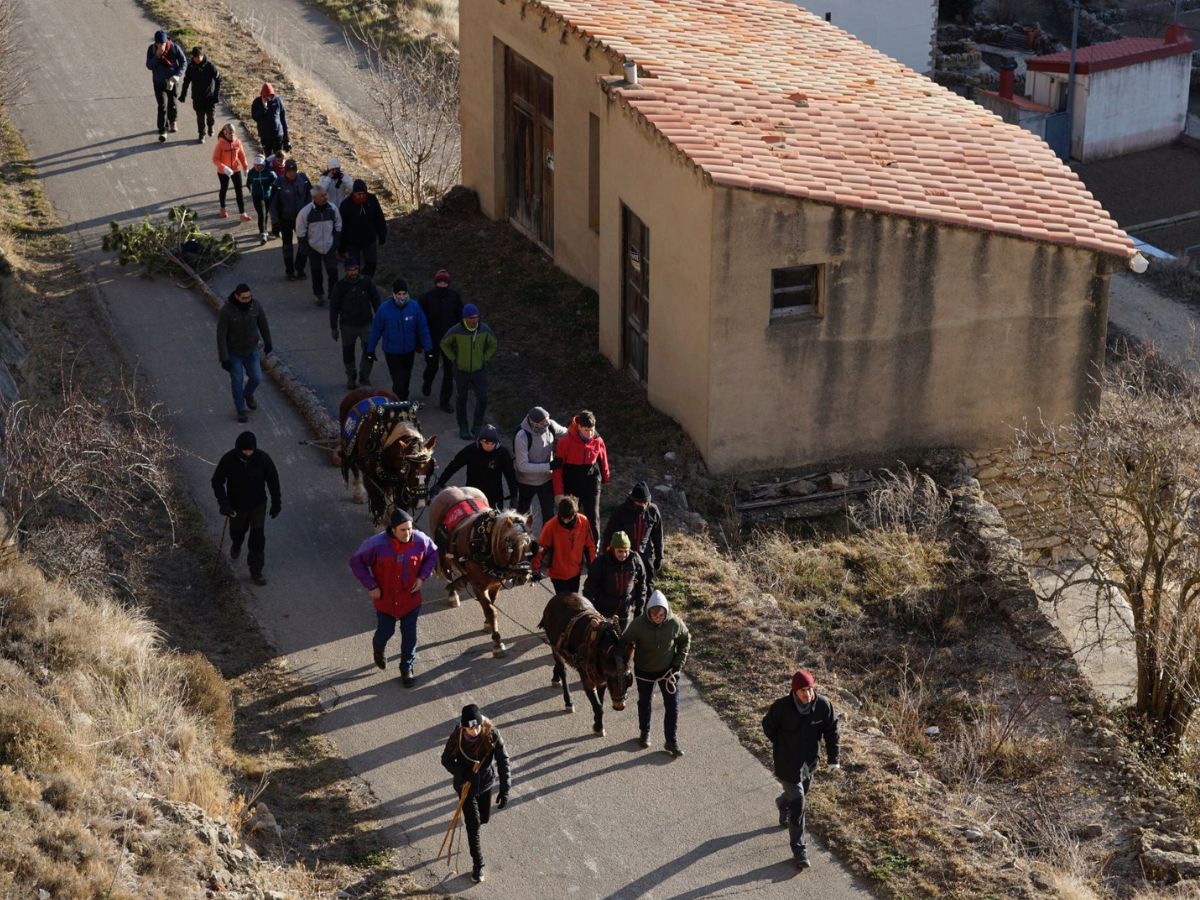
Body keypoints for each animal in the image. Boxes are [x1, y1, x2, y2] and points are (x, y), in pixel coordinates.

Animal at [340, 388, 439, 520]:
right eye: (410, 472)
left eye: (430, 471)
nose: (420, 504)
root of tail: (364, 388)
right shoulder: (371, 480)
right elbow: (378, 506)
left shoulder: (400, 483)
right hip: (350, 449)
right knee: (354, 467)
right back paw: (359, 493)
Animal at [424, 489, 532, 657]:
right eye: (510, 544)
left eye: (530, 544)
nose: (523, 575)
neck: (485, 545)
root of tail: (448, 489)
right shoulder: (478, 587)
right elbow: (491, 611)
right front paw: (497, 642)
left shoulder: (495, 584)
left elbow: (492, 603)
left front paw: (488, 625)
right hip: (444, 554)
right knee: (448, 573)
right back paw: (453, 593)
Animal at [542, 595, 638, 734]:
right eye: (612, 680)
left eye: (629, 680)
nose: (619, 706)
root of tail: (556, 598)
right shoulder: (587, 679)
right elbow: (598, 706)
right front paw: (598, 727)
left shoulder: (601, 680)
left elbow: (600, 703)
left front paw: (598, 723)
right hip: (554, 645)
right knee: (562, 670)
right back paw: (568, 701)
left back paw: (555, 677)